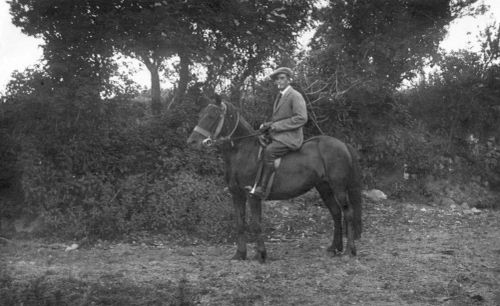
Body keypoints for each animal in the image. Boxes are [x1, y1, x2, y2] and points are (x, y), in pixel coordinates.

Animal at [188, 98, 364, 262]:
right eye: (200, 115)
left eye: (212, 116)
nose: (192, 142)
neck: (242, 151)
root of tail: (342, 144)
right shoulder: (236, 195)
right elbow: (240, 223)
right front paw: (240, 254)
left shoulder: (252, 196)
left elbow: (256, 224)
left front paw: (261, 254)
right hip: (324, 187)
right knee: (336, 213)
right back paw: (335, 248)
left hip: (338, 187)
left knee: (348, 213)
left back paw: (349, 251)